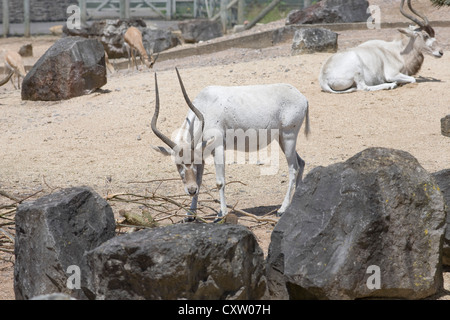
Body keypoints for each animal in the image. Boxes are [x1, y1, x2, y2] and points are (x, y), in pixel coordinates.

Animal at [151, 69, 310, 221]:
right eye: (177, 164)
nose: (191, 190)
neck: (205, 106)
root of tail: (302, 97)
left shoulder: (218, 148)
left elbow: (220, 182)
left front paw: (221, 214)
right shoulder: (202, 153)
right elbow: (199, 181)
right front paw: (190, 215)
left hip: (288, 136)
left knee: (294, 168)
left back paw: (282, 209)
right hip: (282, 139)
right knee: (301, 162)